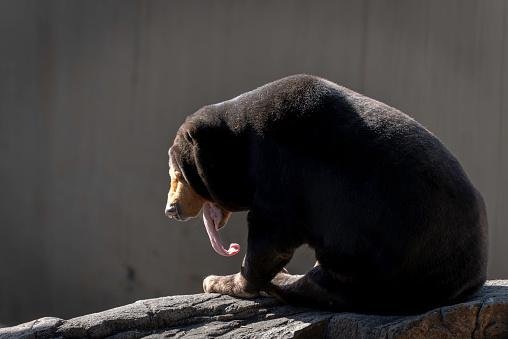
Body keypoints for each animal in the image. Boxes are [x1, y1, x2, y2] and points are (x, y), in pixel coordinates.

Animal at [165, 74, 486, 314]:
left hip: (382, 265)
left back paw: (280, 284)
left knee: (326, 285)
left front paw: (221, 282)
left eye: (178, 175)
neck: (238, 147)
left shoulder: (281, 172)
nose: (170, 210)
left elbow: (271, 238)